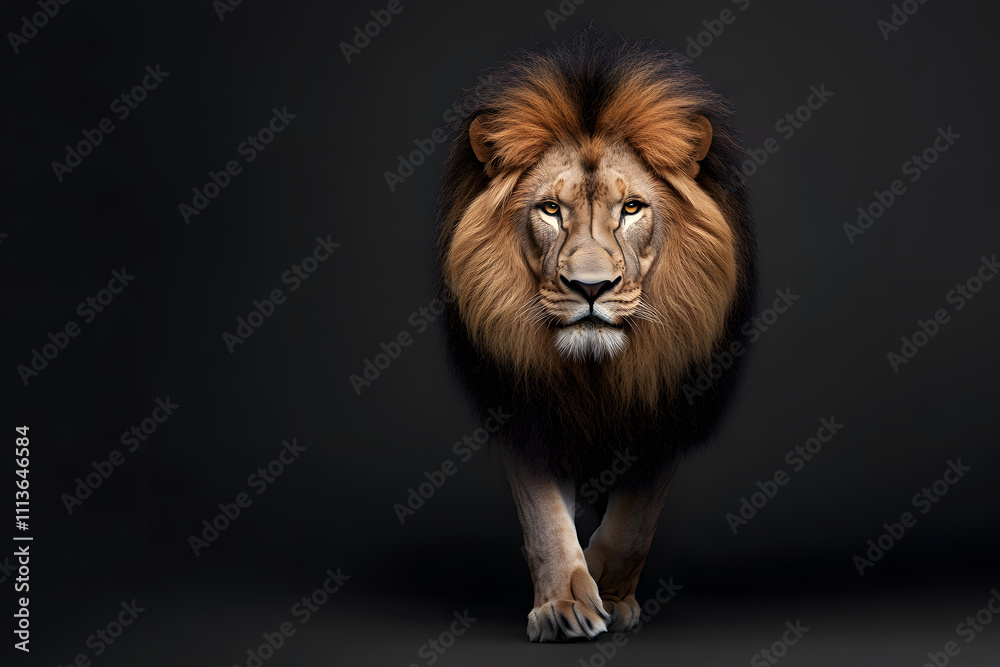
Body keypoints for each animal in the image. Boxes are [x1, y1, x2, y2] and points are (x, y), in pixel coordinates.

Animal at [436, 30, 757, 642]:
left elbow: (633, 525)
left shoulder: (665, 407)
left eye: (631, 208)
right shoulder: (526, 410)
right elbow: (544, 522)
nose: (591, 288)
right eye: (549, 209)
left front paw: (608, 589)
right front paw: (565, 603)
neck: (595, 374)